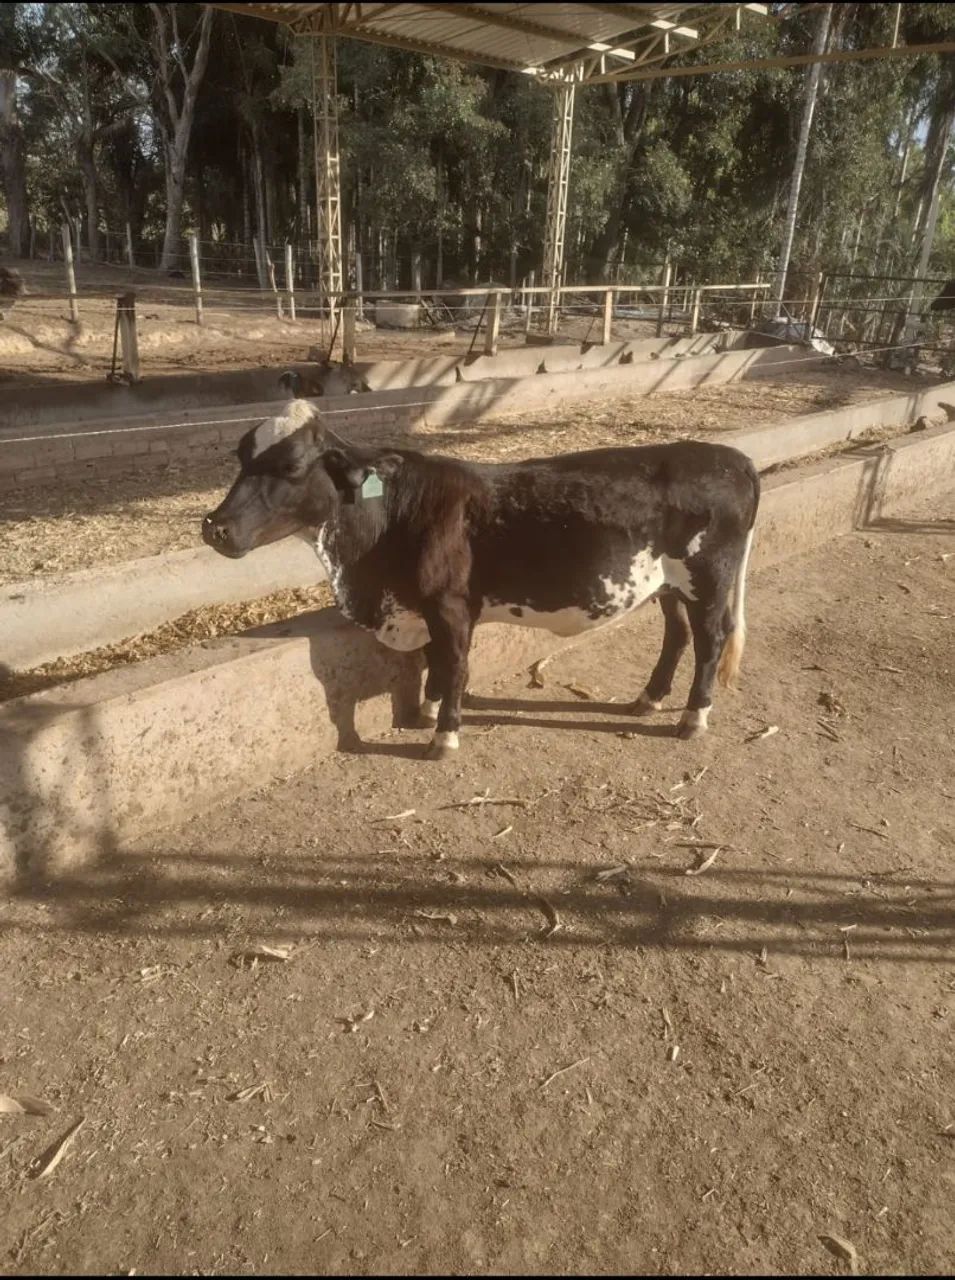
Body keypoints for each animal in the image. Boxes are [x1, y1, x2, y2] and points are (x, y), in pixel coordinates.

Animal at [202, 401, 759, 759]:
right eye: (240, 456)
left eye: (291, 465)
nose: (215, 527)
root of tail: (731, 457)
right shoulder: (423, 606)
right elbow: (433, 661)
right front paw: (427, 710)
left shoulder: (449, 604)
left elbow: (454, 665)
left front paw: (444, 736)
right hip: (668, 585)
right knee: (677, 634)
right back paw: (648, 699)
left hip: (709, 578)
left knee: (710, 640)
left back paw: (693, 718)